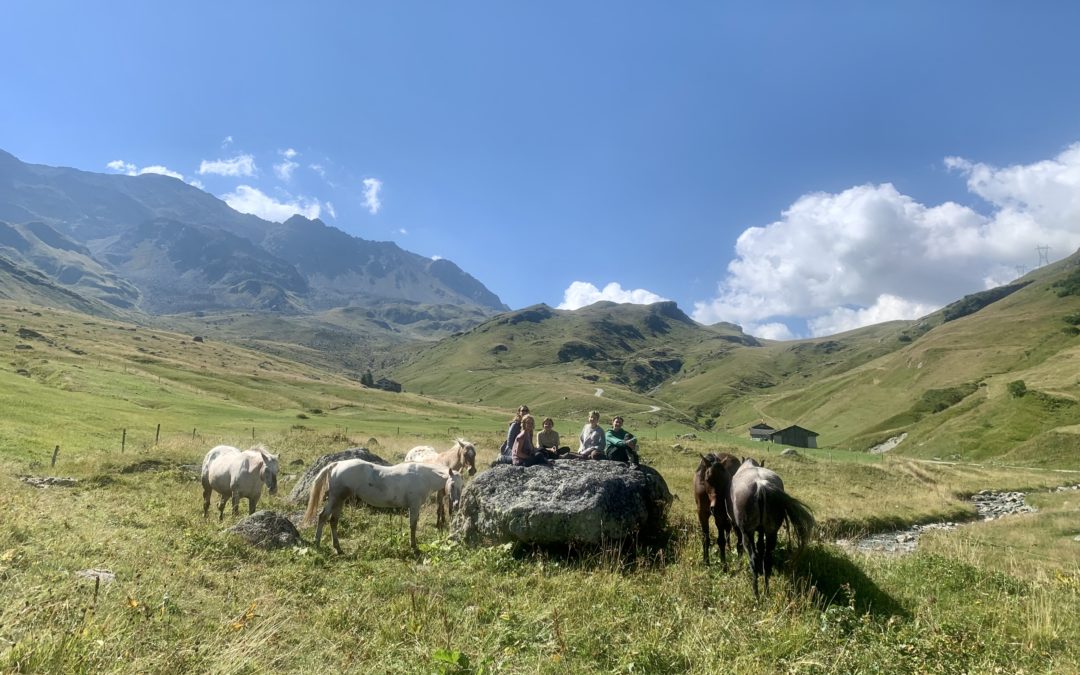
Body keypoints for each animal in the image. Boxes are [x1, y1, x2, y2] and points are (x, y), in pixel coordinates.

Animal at [302, 460, 462, 557]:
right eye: (453, 485)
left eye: (462, 485)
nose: (456, 504)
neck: (423, 476)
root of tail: (337, 464)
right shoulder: (414, 505)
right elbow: (413, 526)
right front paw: (414, 547)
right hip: (336, 499)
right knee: (323, 516)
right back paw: (317, 543)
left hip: (340, 501)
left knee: (333, 521)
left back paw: (338, 548)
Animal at [730, 457, 812, 596]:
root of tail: (761, 485)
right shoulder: (762, 531)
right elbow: (760, 547)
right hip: (771, 533)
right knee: (767, 558)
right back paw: (766, 591)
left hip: (747, 533)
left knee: (753, 558)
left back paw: (756, 593)